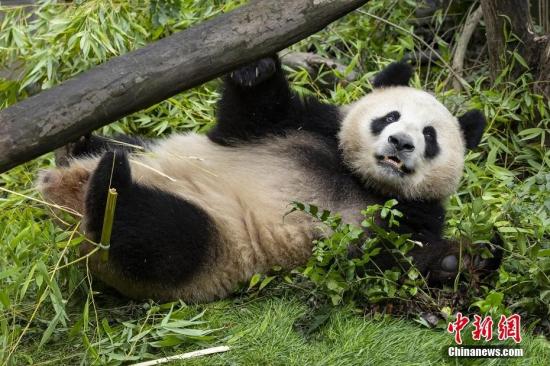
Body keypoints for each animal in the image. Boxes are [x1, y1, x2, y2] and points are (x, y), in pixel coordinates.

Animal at [38, 56, 496, 304]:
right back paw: (79, 149)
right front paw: (256, 68)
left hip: (214, 246)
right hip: (149, 153)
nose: (400, 143)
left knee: (158, 237)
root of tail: (64, 200)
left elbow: (386, 264)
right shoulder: (305, 126)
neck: (361, 180)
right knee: (123, 152)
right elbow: (248, 117)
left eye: (430, 136)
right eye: (389, 117)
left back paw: (108, 189)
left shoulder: (410, 215)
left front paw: (462, 259)